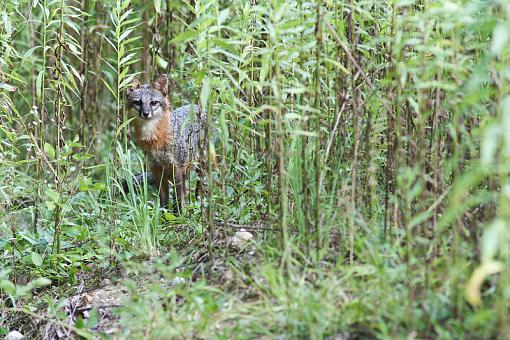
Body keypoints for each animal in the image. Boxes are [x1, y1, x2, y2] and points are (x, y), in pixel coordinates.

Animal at [125, 75, 209, 211]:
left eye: (154, 103)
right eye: (138, 102)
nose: (146, 113)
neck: (155, 139)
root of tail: (198, 106)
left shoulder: (177, 168)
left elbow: (178, 199)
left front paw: (179, 214)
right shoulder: (157, 169)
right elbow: (164, 200)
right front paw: (165, 214)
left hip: (199, 166)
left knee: (199, 189)